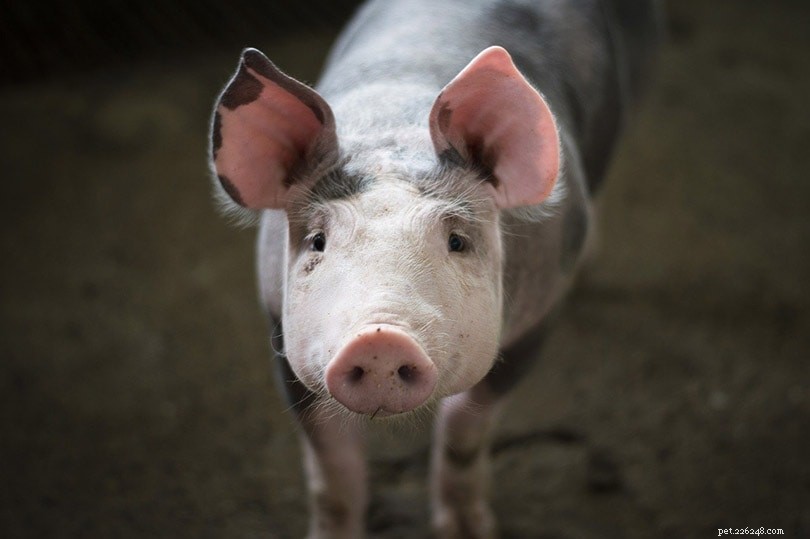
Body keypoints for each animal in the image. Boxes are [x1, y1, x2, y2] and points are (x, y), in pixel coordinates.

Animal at [208, 0, 659, 537]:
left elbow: (465, 431)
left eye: (456, 241)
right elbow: (332, 469)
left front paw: (470, 530)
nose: (380, 338)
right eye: (318, 241)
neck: (394, 130)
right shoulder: (280, 327)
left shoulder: (538, 314)